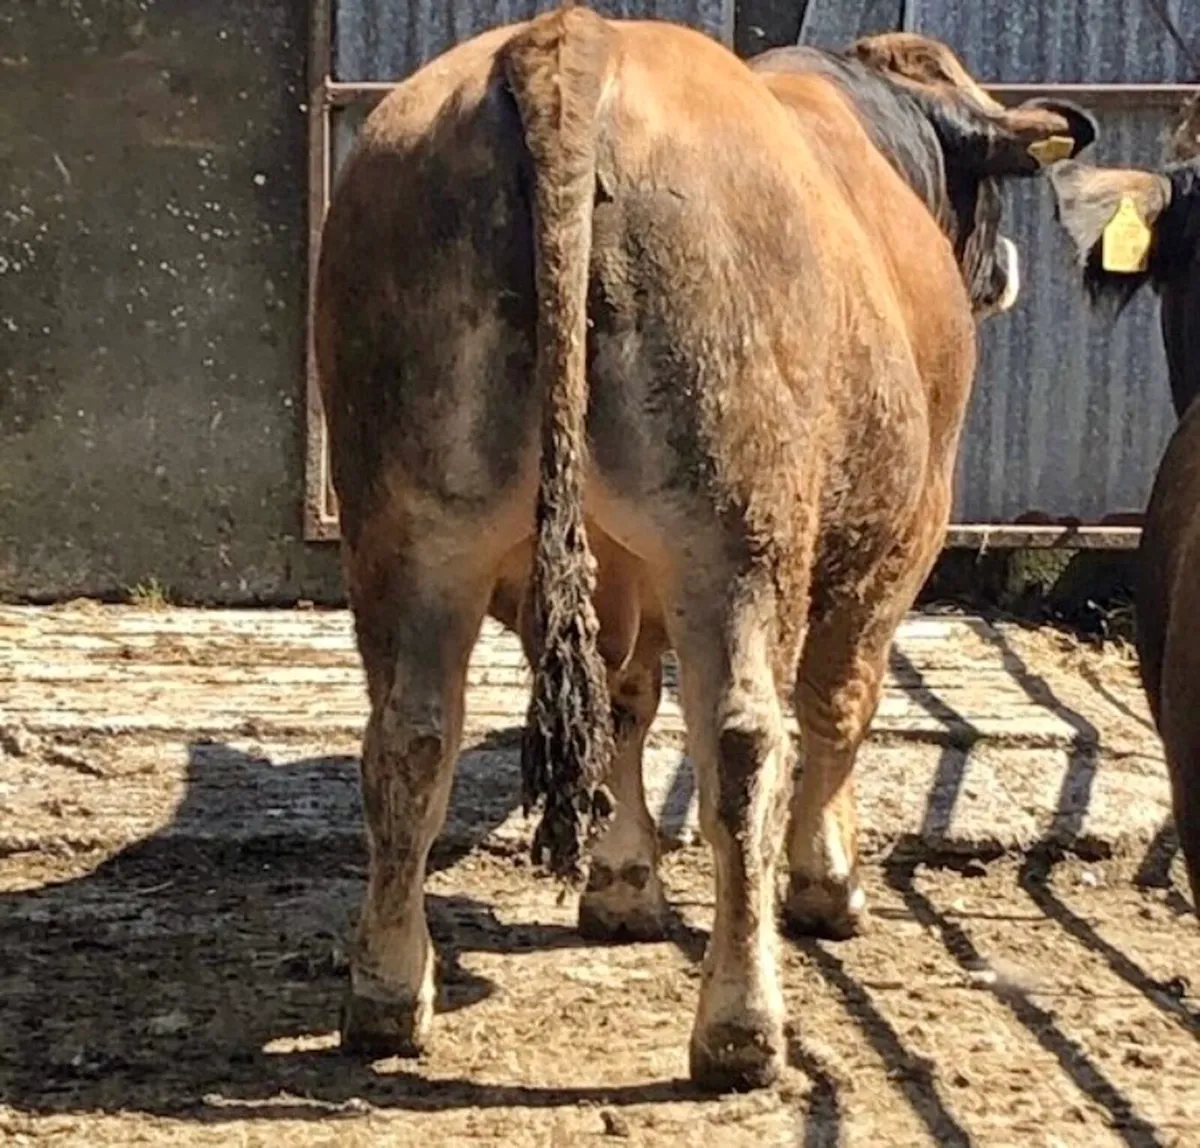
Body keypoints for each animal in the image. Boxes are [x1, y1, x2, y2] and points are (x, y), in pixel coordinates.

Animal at [314, 5, 1094, 1090]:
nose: (1002, 270)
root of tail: (569, 39)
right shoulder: (901, 538)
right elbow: (837, 706)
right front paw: (828, 881)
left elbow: (624, 704)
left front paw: (622, 882)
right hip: (738, 530)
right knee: (743, 742)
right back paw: (742, 1022)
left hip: (412, 528)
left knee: (412, 736)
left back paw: (388, 992)